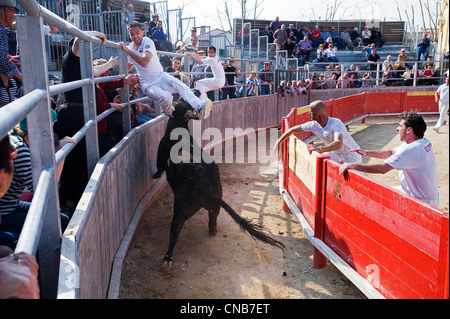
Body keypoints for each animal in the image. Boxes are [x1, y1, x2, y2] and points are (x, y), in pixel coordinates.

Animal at [153, 97, 284, 270]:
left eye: (179, 101)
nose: (175, 99)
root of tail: (202, 182)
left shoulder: (161, 154)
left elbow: (159, 167)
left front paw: (154, 175)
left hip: (180, 210)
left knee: (175, 233)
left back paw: (167, 259)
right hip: (215, 205)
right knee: (213, 218)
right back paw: (213, 231)